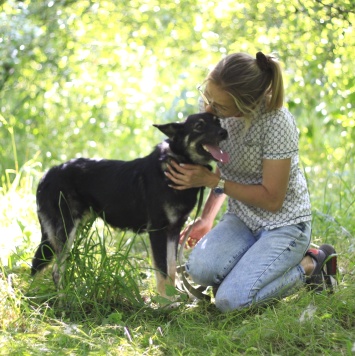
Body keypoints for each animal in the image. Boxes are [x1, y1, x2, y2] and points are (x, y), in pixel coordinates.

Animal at [32, 112, 229, 296]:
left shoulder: (174, 230)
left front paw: (174, 296)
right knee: (56, 270)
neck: (178, 161)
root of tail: (46, 175)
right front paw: (166, 302)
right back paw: (63, 297)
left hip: (72, 230)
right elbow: (162, 272)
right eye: (199, 126)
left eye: (217, 121)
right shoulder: (157, 230)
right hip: (66, 232)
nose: (224, 132)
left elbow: (172, 270)